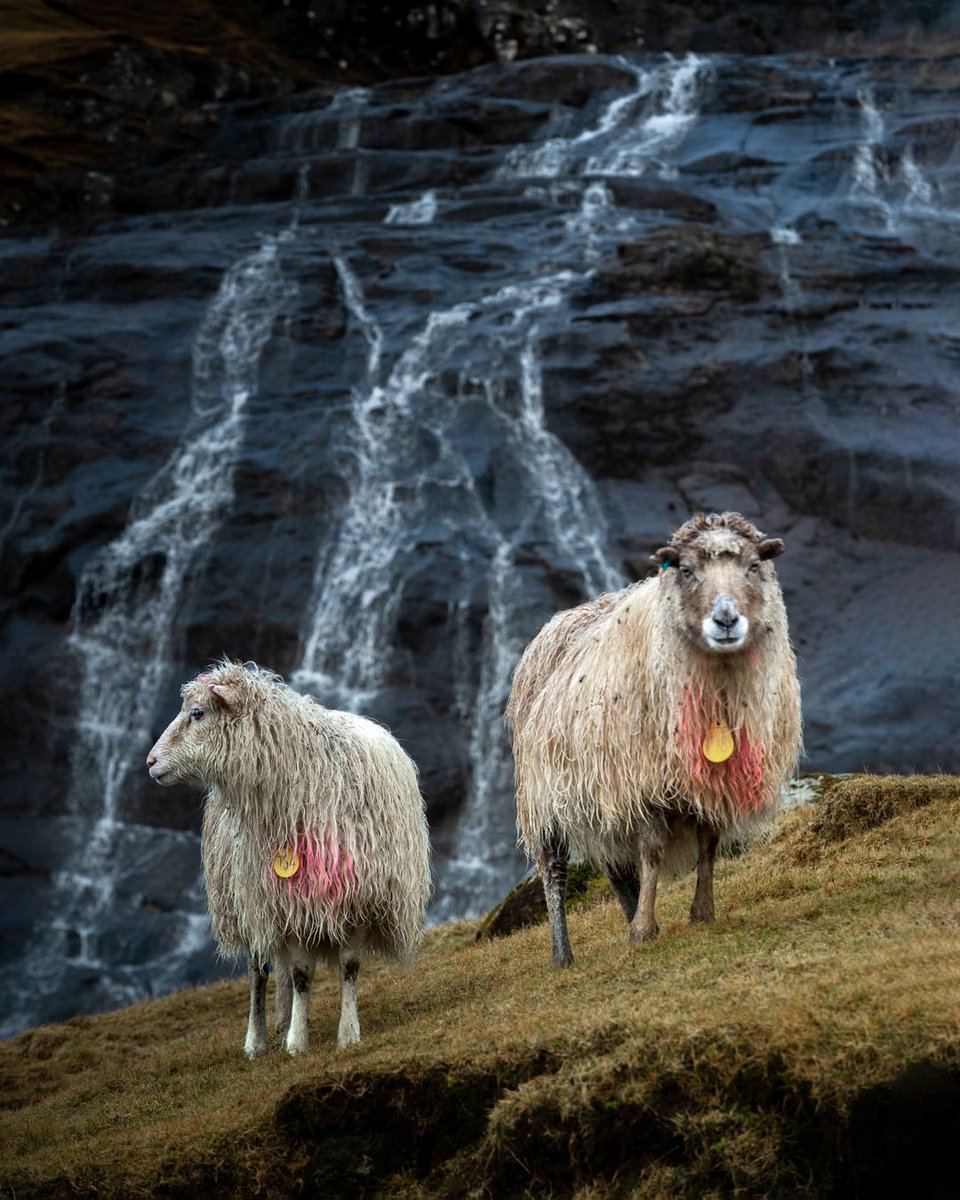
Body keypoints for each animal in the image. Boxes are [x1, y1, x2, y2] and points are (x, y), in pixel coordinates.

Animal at [146, 660, 431, 1056]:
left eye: (197, 713)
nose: (150, 761)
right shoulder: (287, 903)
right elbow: (301, 975)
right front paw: (297, 1041)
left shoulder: (360, 898)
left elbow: (349, 967)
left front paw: (348, 1034)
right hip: (250, 899)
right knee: (260, 971)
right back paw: (259, 1039)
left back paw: (282, 1021)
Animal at [506, 511, 802, 967]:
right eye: (687, 570)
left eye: (754, 566)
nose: (726, 620)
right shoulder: (640, 780)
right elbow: (652, 850)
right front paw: (643, 931)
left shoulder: (708, 778)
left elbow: (708, 844)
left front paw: (701, 912)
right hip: (545, 793)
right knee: (555, 870)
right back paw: (563, 953)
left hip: (599, 792)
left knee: (614, 865)